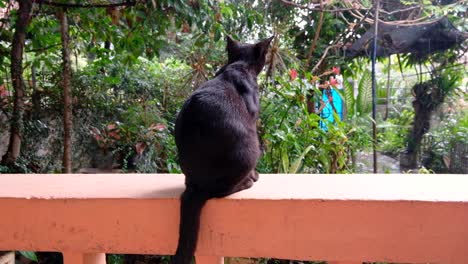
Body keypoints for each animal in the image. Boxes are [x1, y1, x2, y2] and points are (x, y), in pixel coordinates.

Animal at [173, 36, 274, 264]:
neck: (239, 64)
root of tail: (196, 186)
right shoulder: (253, 118)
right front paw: (255, 176)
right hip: (251, 147)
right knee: (222, 191)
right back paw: (248, 181)